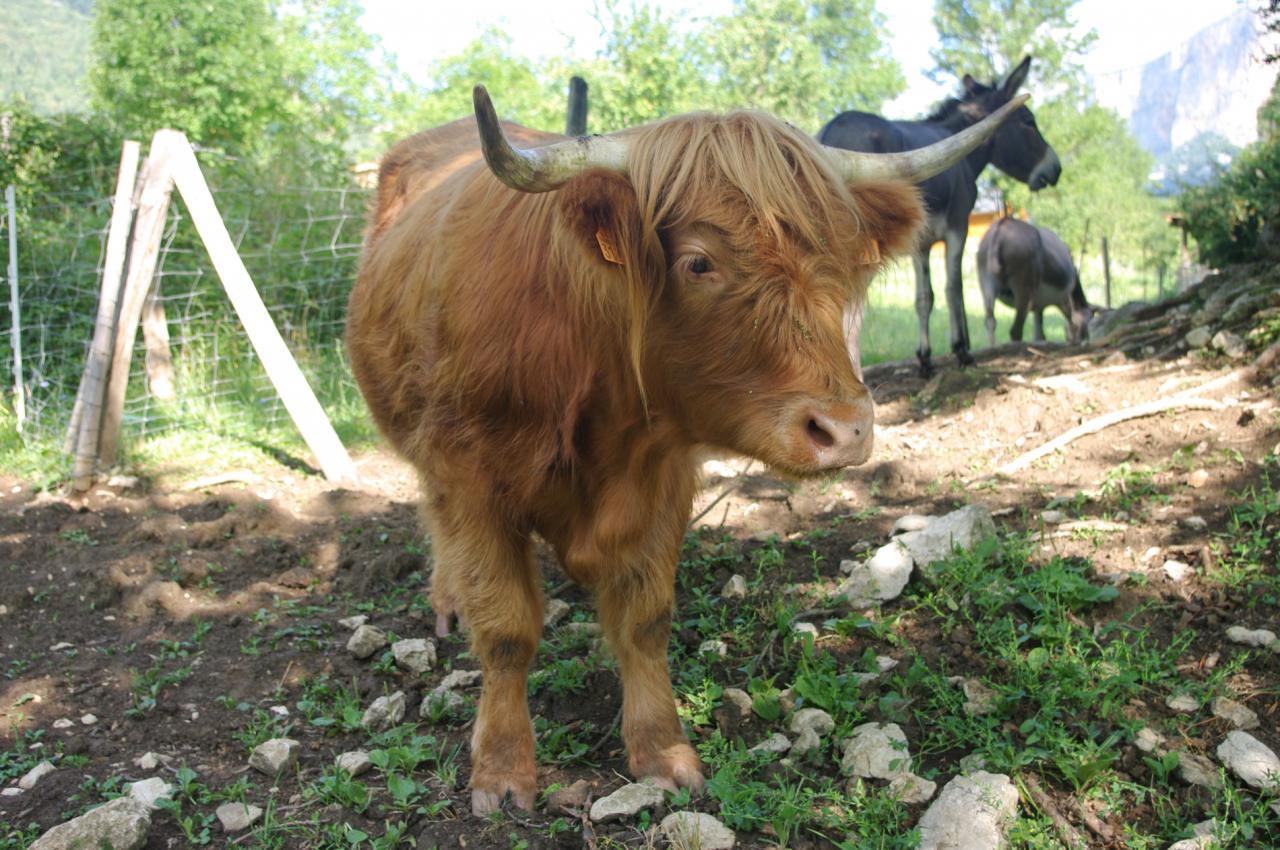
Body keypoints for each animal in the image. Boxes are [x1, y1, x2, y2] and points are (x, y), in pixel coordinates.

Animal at [345, 89, 1024, 814]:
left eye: (843, 258)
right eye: (699, 261)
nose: (844, 429)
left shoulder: (664, 479)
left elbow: (646, 621)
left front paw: (661, 750)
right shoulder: (470, 476)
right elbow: (505, 628)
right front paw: (502, 769)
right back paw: (447, 599)